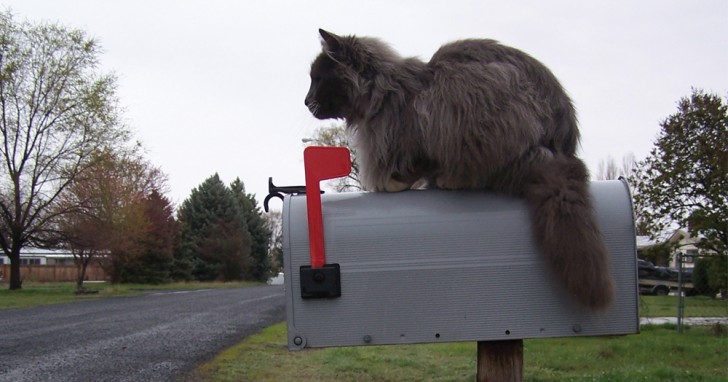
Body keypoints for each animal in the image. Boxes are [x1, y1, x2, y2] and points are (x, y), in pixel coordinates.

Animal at [302, 29, 616, 310]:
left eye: (318, 79)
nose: (305, 101)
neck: (382, 96)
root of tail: (560, 147)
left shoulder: (419, 129)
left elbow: (413, 163)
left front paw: (394, 181)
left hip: (471, 98)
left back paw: (449, 179)